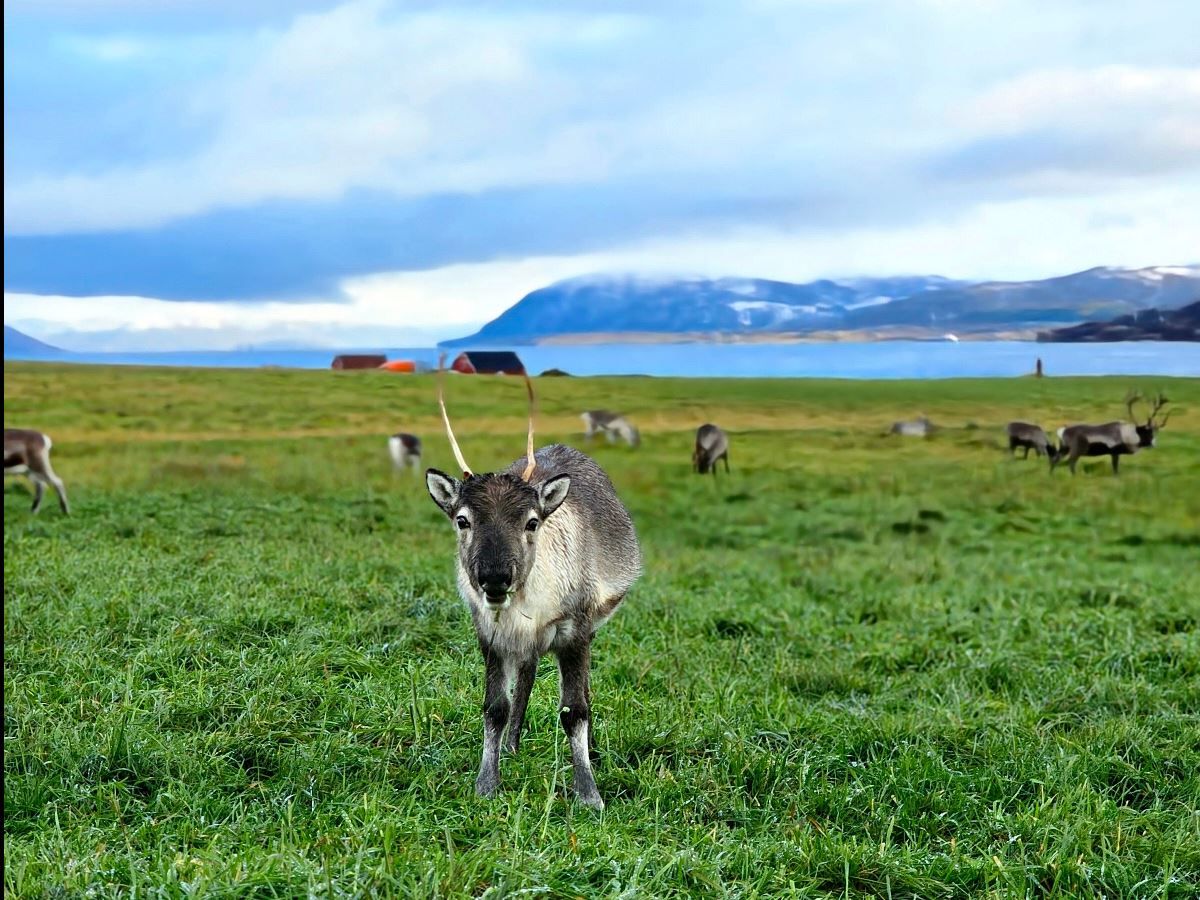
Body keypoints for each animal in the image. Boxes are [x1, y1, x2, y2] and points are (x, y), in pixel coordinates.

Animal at [426, 369, 642, 809]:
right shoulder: (491, 635)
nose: (495, 578)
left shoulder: (575, 632)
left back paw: (592, 750)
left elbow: (574, 710)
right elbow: (495, 707)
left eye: (531, 521)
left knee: (583, 689)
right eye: (462, 519)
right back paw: (512, 745)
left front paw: (588, 793)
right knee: (526, 673)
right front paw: (487, 783)